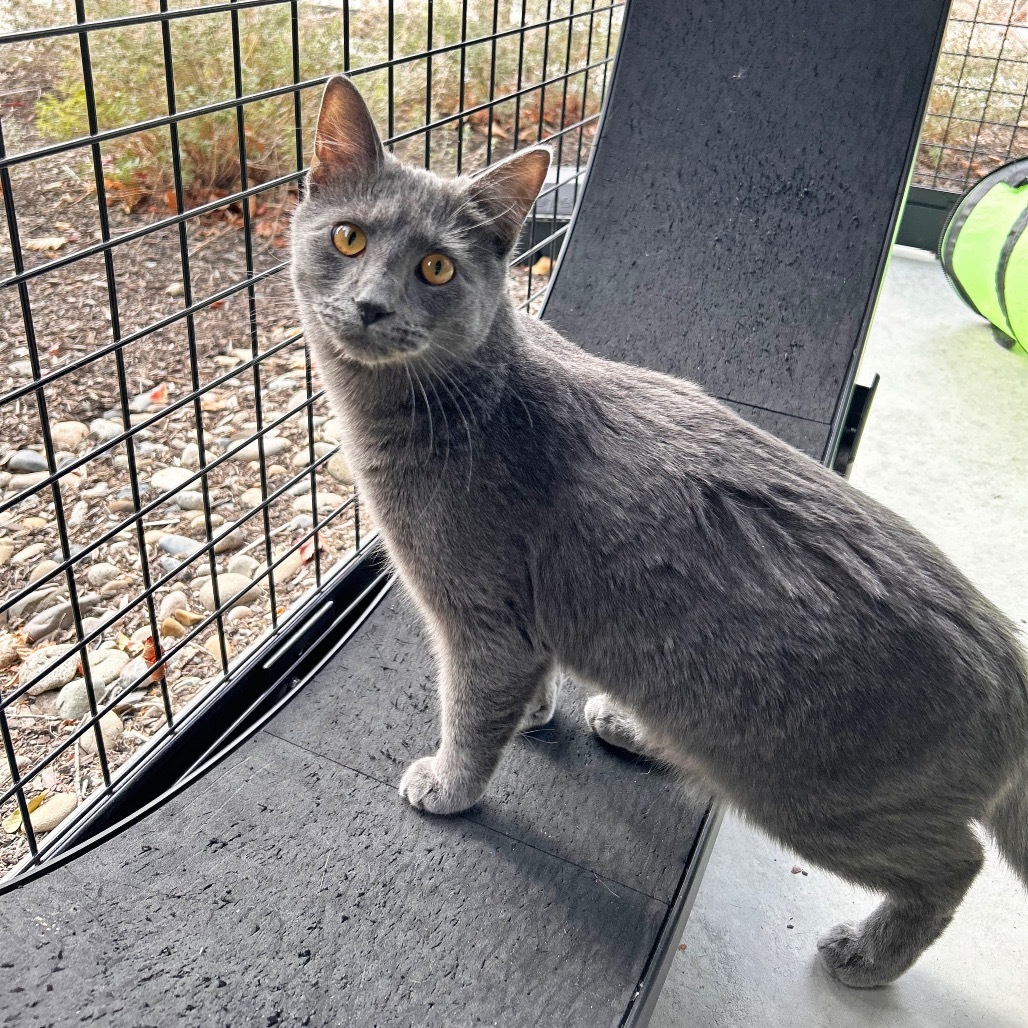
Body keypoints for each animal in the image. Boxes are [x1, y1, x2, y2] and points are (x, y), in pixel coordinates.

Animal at [289, 76, 1028, 990]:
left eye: (436, 267)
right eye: (348, 237)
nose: (370, 304)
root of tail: (1014, 663)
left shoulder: (481, 619)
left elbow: (468, 710)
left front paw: (450, 784)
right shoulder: (524, 620)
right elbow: (520, 686)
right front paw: (534, 716)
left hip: (813, 792)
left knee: (956, 864)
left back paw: (867, 954)